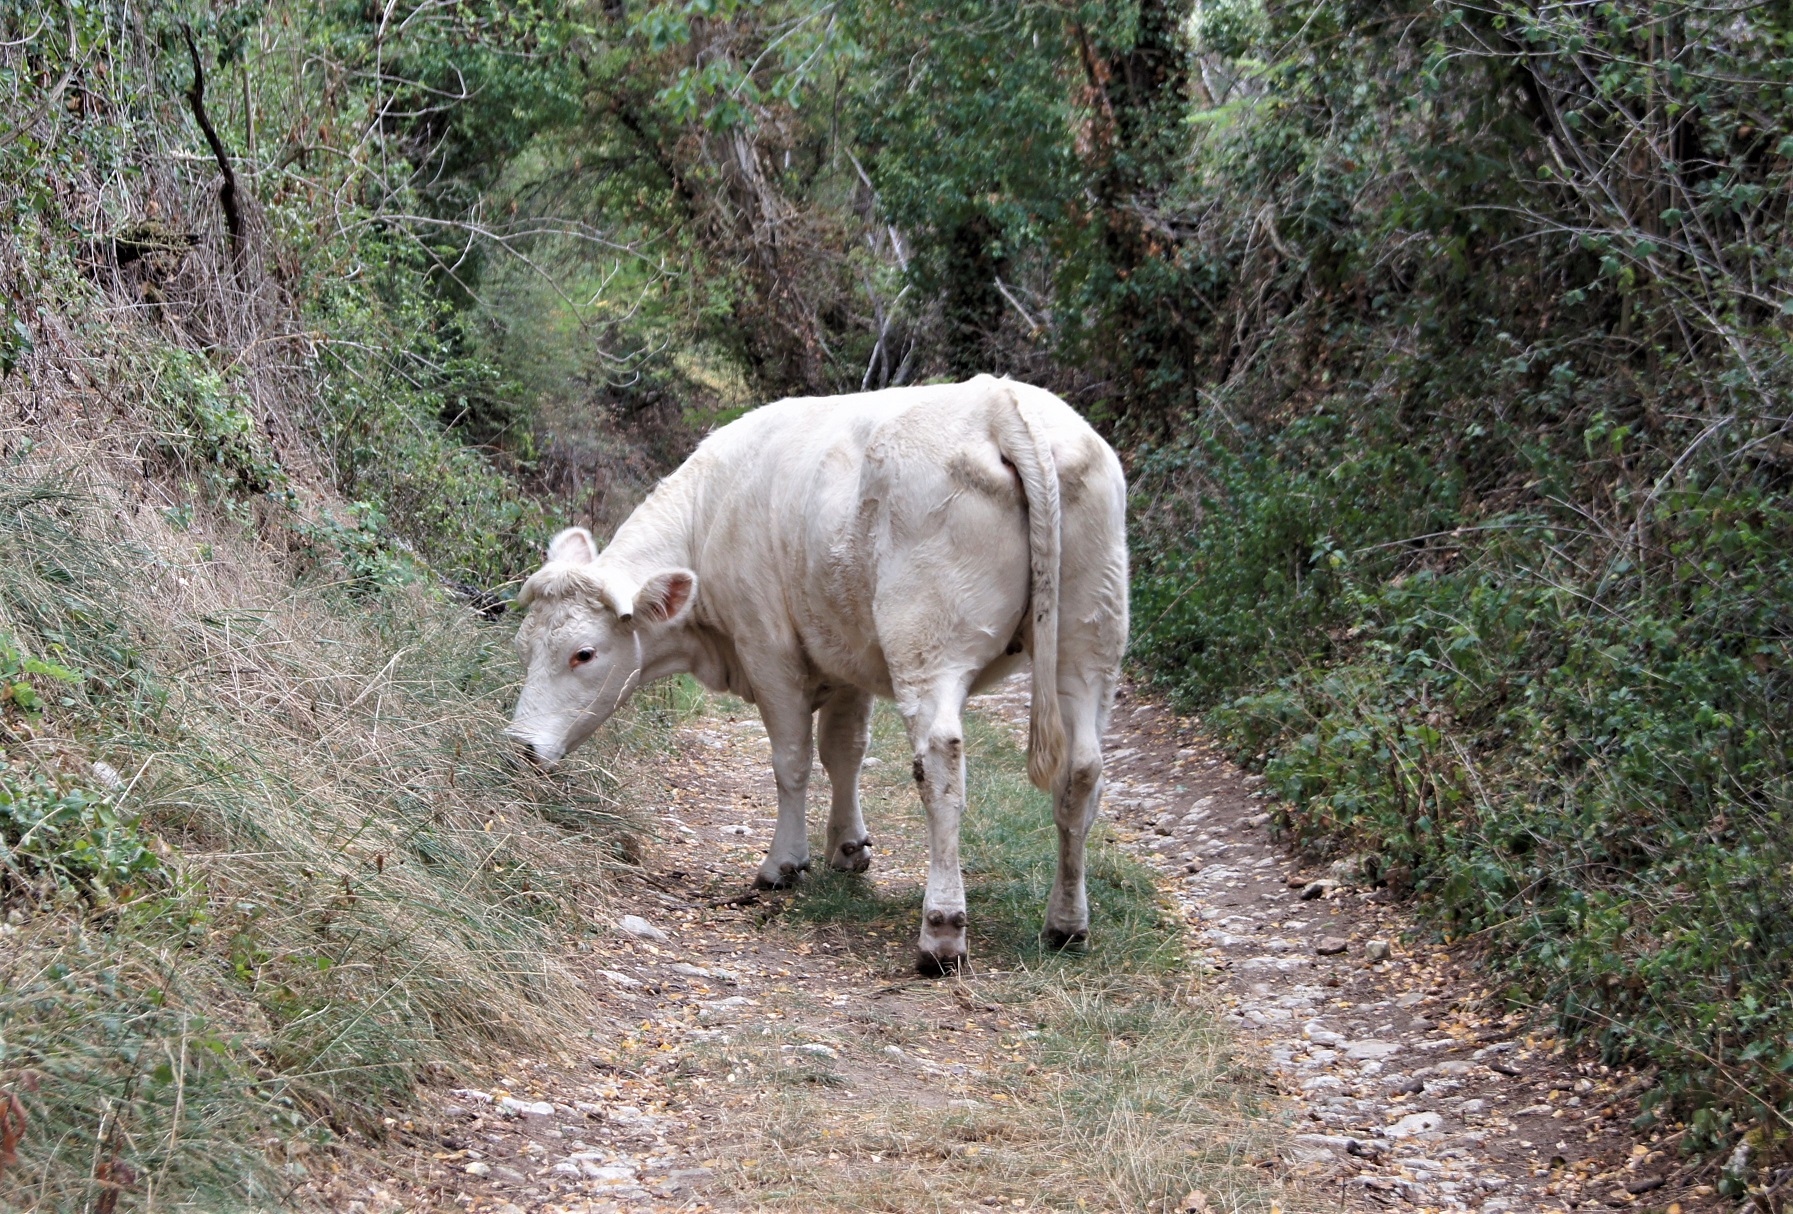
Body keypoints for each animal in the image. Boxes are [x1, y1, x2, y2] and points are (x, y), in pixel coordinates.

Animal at [509, 374, 1118, 968]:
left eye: (584, 653)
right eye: (522, 646)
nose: (519, 747)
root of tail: (1001, 402)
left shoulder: (766, 647)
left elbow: (792, 759)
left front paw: (784, 863)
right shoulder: (844, 651)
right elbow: (844, 750)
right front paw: (847, 847)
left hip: (929, 641)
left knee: (942, 761)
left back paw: (942, 932)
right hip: (1090, 636)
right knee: (1083, 768)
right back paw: (1066, 924)